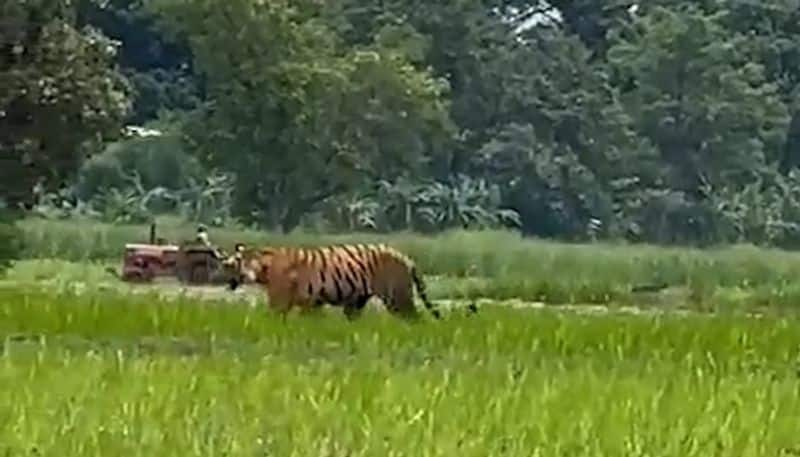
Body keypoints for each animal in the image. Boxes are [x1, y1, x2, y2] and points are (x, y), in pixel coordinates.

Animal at [220, 242, 444, 320]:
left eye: (233, 264)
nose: (223, 268)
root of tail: (406, 257)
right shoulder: (312, 303)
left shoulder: (280, 301)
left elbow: (272, 317)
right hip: (356, 302)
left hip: (396, 297)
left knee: (414, 318)